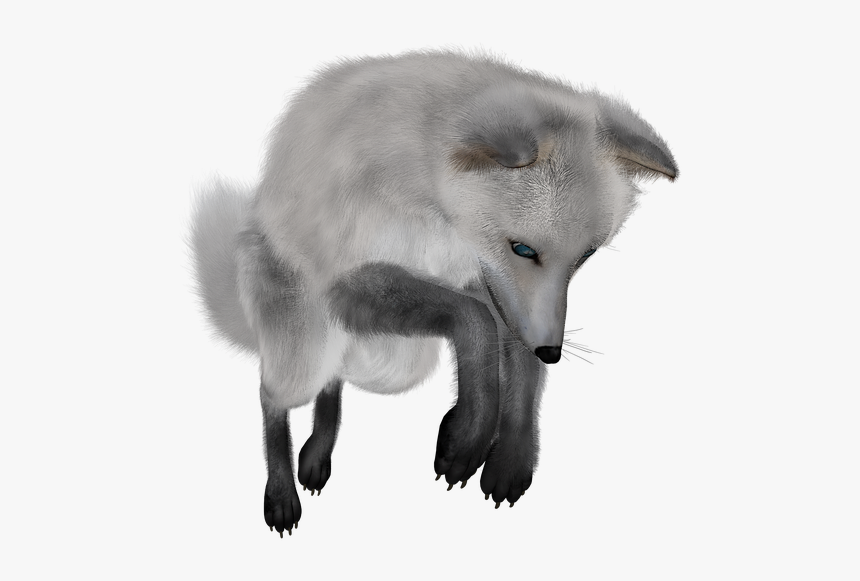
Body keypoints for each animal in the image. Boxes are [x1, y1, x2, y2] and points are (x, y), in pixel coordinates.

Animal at [190, 50, 678, 537]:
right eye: (523, 249)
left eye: (586, 256)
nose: (553, 352)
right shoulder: (348, 284)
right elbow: (472, 322)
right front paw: (468, 438)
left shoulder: (487, 284)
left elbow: (515, 363)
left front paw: (509, 459)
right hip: (309, 354)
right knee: (272, 397)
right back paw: (281, 491)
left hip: (395, 368)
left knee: (334, 382)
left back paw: (317, 455)